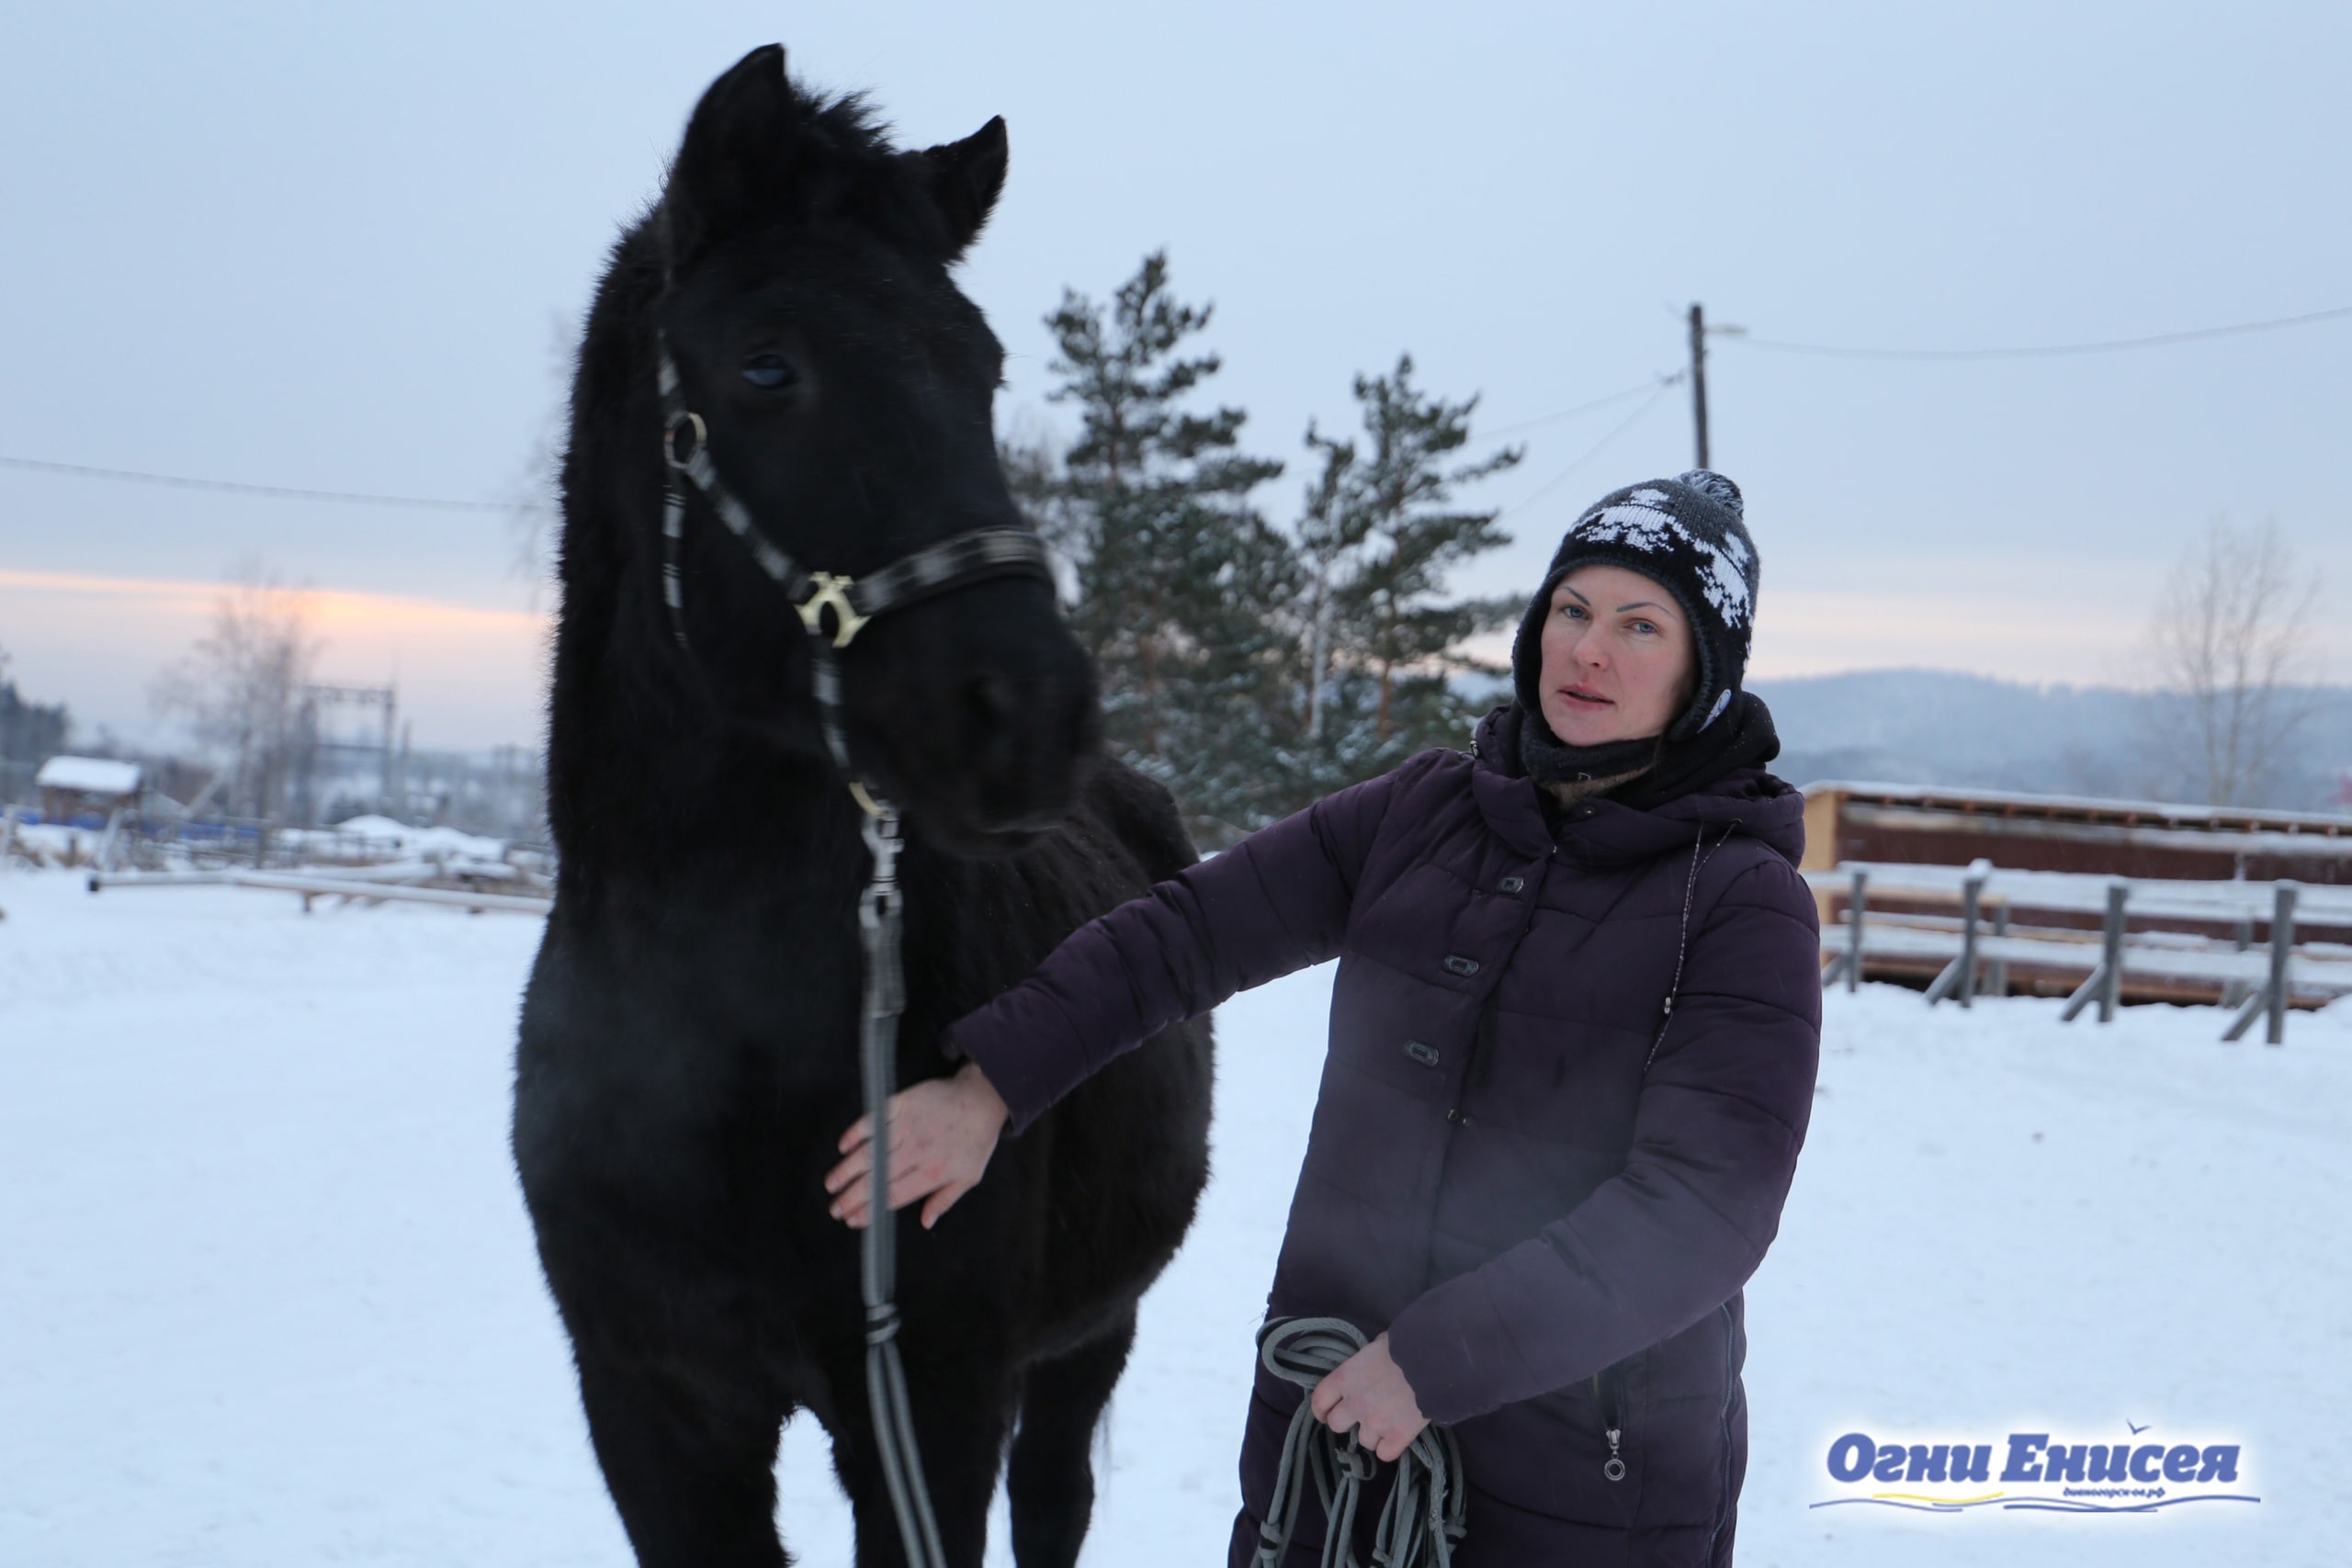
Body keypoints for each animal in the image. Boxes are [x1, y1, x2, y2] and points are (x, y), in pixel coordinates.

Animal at [514, 49, 1213, 1568]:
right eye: (768, 364)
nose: (1029, 712)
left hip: (1091, 1339)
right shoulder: (651, 1404)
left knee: (1058, 1500)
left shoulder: (932, 1406)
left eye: (984, 365)